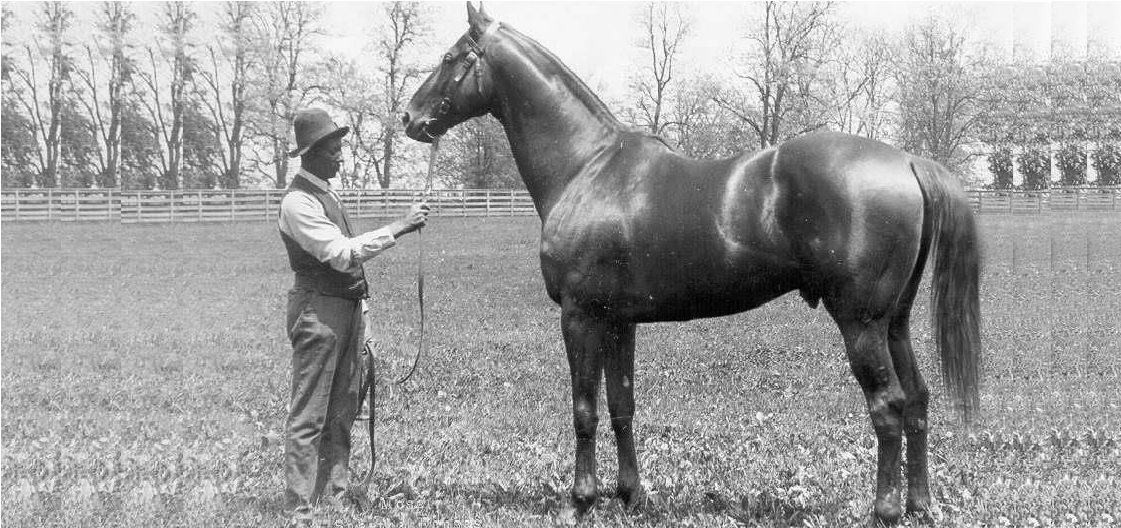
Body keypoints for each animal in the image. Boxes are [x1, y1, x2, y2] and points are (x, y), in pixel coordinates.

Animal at [402, 4, 981, 525]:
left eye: (450, 57)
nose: (410, 118)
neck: (587, 168)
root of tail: (907, 161)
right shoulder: (618, 321)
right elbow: (622, 405)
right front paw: (630, 496)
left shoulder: (579, 316)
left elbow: (584, 410)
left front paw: (581, 501)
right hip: (894, 321)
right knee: (918, 400)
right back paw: (919, 505)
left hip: (860, 324)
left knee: (888, 407)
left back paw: (886, 511)